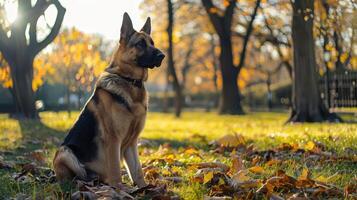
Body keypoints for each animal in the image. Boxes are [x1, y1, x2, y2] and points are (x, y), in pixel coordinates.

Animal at [52, 12, 164, 189]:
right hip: (65, 153)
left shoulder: (131, 143)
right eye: (140, 43)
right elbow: (116, 170)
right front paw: (120, 190)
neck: (130, 81)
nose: (162, 56)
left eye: (152, 43)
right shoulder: (113, 140)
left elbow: (137, 170)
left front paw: (144, 189)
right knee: (74, 176)